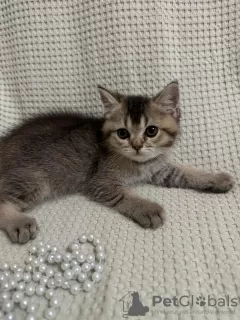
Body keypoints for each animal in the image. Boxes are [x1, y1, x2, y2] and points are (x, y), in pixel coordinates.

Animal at [0, 82, 233, 242]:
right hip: (33, 179)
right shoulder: (99, 182)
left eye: (151, 130)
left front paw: (216, 178)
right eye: (123, 133)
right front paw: (147, 209)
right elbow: (123, 195)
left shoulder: (158, 168)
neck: (140, 164)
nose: (137, 145)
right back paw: (19, 223)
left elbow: (186, 172)